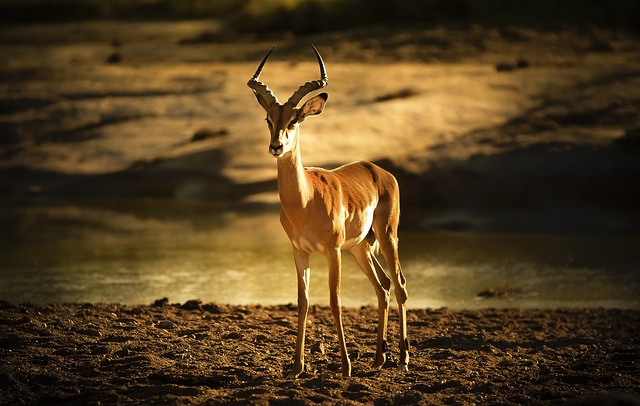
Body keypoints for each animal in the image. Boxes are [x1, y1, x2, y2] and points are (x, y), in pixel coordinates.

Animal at [247, 45, 409, 378]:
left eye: (294, 120)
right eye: (269, 119)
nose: (276, 146)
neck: (304, 201)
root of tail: (379, 171)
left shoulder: (332, 251)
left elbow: (334, 301)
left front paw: (345, 366)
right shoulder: (299, 251)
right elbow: (303, 301)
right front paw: (296, 367)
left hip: (387, 236)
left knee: (399, 284)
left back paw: (402, 358)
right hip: (361, 247)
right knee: (383, 286)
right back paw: (378, 358)